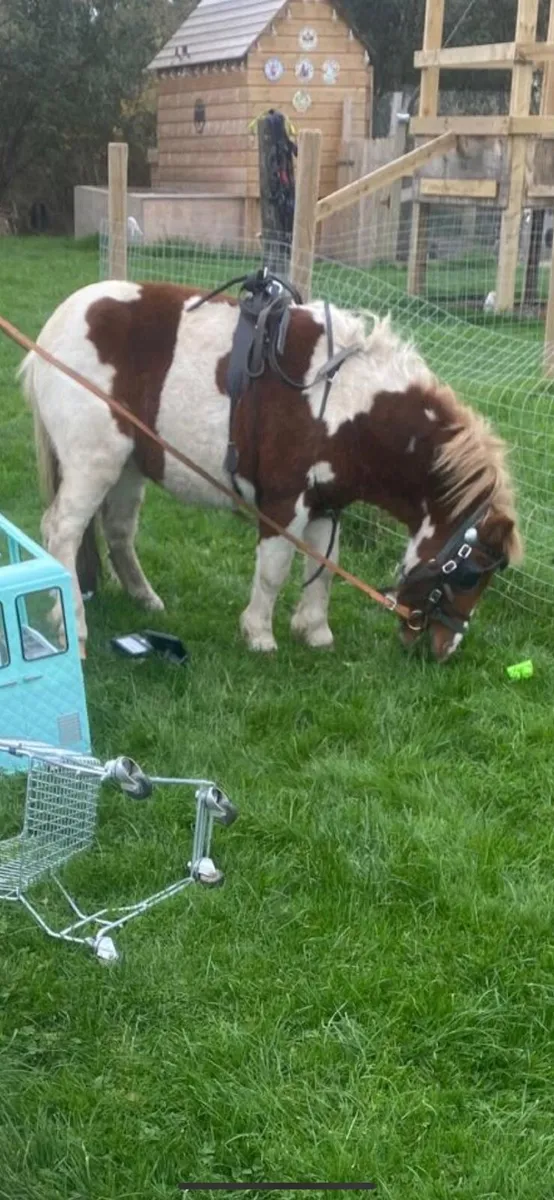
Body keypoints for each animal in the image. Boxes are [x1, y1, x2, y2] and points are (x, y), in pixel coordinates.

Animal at [19, 276, 523, 662]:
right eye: (470, 573)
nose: (444, 647)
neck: (342, 404)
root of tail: (53, 331)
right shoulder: (283, 503)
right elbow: (274, 569)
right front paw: (259, 633)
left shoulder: (327, 505)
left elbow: (324, 567)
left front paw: (315, 630)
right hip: (93, 465)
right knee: (62, 531)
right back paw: (73, 626)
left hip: (128, 467)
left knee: (119, 532)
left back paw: (144, 597)